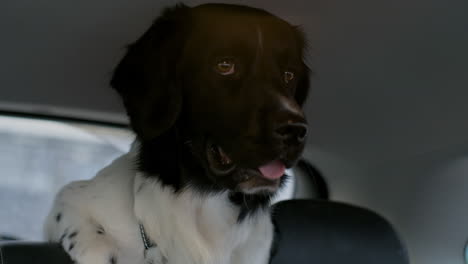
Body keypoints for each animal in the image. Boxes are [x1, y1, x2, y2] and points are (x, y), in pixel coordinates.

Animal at [43, 3, 308, 264]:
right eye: (225, 65)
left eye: (289, 74)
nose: (296, 129)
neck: (205, 200)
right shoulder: (72, 197)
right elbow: (90, 239)